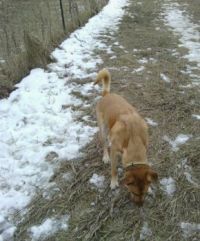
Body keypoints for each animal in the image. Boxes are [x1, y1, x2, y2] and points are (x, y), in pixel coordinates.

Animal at [94, 68, 157, 206]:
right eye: (134, 193)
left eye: (144, 193)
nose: (140, 206)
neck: (133, 138)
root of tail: (107, 94)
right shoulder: (114, 152)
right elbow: (113, 169)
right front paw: (113, 182)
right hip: (103, 129)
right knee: (104, 143)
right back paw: (105, 157)